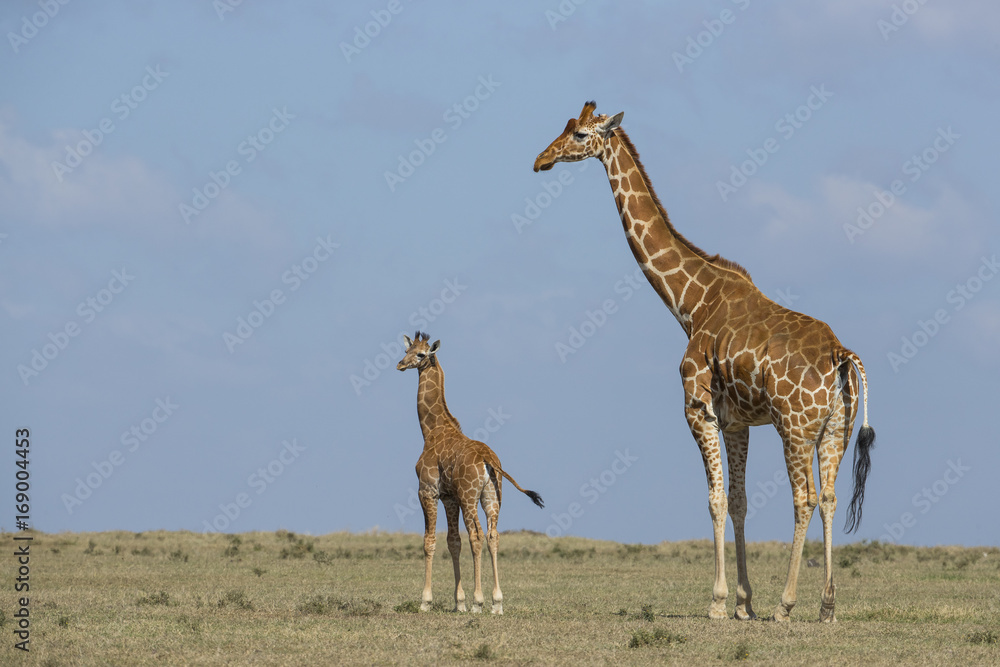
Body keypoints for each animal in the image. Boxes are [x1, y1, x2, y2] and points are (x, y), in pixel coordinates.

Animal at [396, 332, 544, 614]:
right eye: (406, 350)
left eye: (421, 354)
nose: (400, 364)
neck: (431, 430)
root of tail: (489, 460)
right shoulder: (449, 497)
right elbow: (453, 542)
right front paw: (459, 602)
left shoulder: (428, 491)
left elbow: (429, 541)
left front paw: (426, 601)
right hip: (491, 496)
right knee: (493, 535)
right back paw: (496, 602)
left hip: (469, 496)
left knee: (476, 535)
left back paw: (480, 601)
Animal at [533, 102, 876, 622]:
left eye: (579, 134)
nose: (541, 160)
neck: (690, 304)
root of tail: (841, 355)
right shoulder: (737, 421)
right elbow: (738, 502)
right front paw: (743, 602)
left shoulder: (697, 408)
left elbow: (713, 500)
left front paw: (718, 602)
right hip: (835, 427)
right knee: (832, 498)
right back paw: (827, 605)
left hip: (795, 427)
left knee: (805, 498)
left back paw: (787, 604)